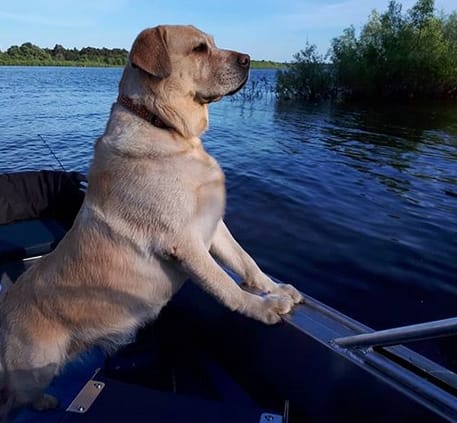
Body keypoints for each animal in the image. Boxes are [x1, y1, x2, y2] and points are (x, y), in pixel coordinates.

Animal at [0, 25, 303, 416]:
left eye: (214, 42)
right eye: (199, 48)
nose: (249, 60)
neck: (166, 128)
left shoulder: (215, 227)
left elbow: (246, 263)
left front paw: (274, 288)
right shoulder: (184, 242)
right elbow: (225, 285)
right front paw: (264, 308)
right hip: (32, 371)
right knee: (14, 400)